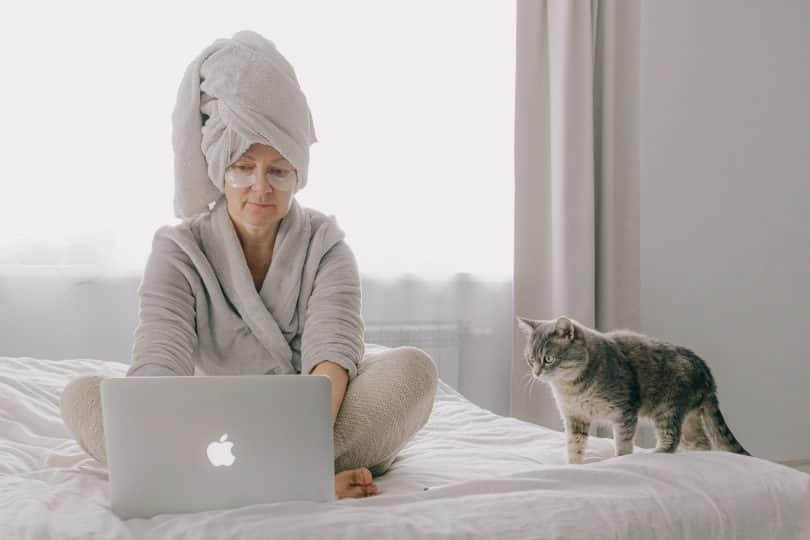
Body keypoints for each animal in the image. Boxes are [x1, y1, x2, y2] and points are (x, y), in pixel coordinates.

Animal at [516, 316, 748, 464]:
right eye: (530, 360)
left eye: (548, 359)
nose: (536, 373)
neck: (571, 389)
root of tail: (706, 371)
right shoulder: (574, 418)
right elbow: (574, 447)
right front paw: (574, 466)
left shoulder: (624, 412)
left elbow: (624, 444)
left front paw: (620, 460)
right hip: (689, 419)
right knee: (702, 444)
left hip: (668, 409)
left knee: (671, 439)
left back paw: (657, 453)